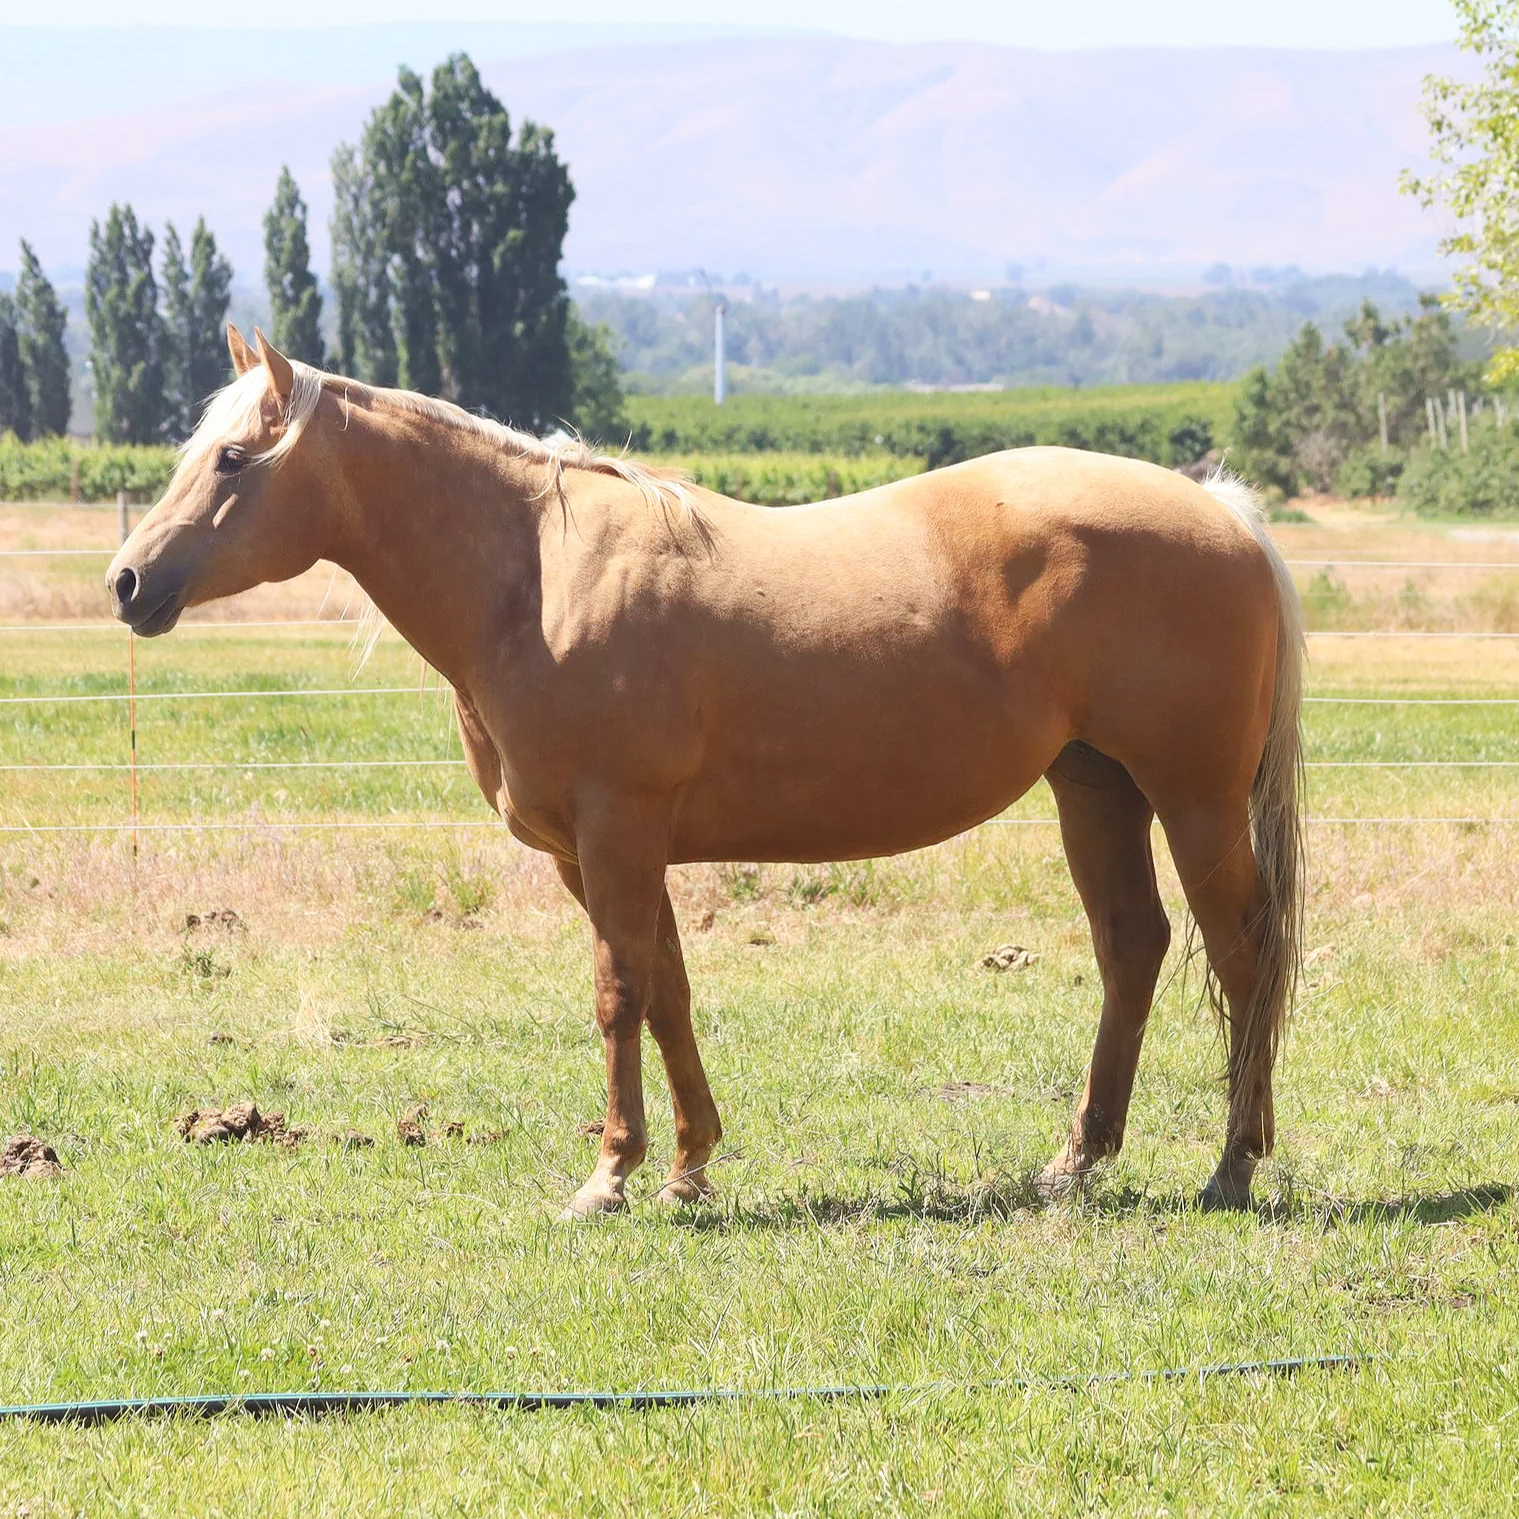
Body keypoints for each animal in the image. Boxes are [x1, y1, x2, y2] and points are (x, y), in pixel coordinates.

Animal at [107, 327, 1305, 1218]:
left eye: (230, 459)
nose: (126, 582)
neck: (532, 579)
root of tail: (1221, 512)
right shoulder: (604, 853)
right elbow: (668, 992)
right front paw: (687, 1165)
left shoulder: (616, 833)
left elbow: (617, 993)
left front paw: (609, 1176)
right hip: (1093, 788)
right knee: (1132, 947)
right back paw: (1077, 1160)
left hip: (1192, 801)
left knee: (1243, 956)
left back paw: (1231, 1165)